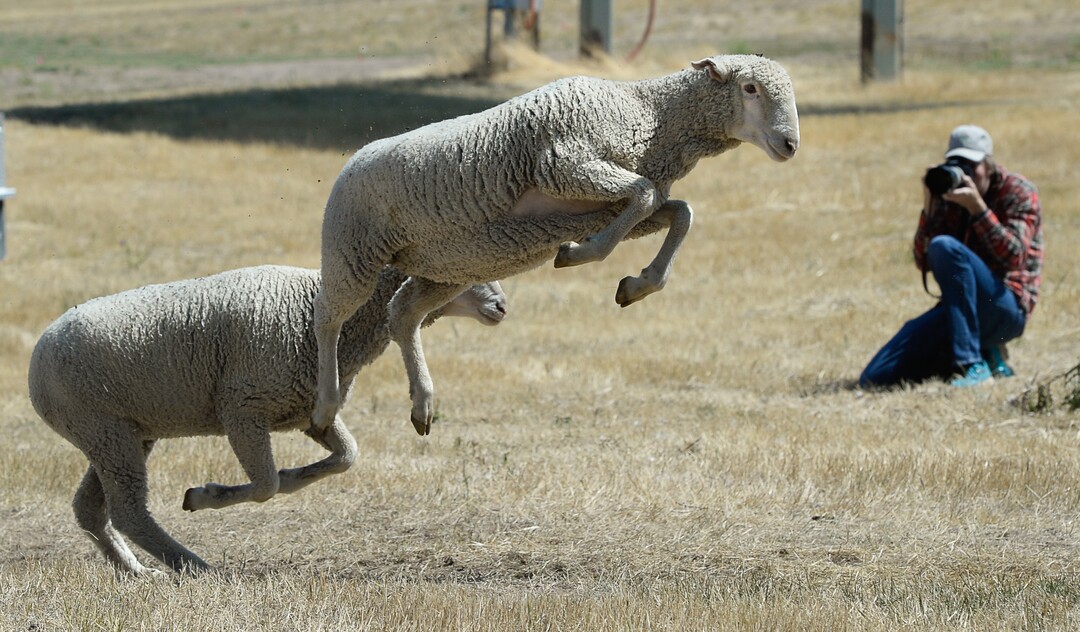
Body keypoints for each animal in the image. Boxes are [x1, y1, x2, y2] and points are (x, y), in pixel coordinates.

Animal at [28, 265, 507, 576]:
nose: (502, 306)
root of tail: (36, 359)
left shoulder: (310, 411)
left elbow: (345, 458)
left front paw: (296, 475)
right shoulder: (242, 410)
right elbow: (265, 486)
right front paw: (204, 495)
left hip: (121, 434)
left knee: (91, 509)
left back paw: (138, 571)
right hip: (106, 432)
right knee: (129, 512)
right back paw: (195, 567)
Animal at [313, 54, 800, 435]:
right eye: (750, 88)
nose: (791, 144)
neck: (649, 115)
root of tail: (352, 159)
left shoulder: (605, 207)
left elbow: (679, 213)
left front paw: (637, 285)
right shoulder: (568, 165)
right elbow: (643, 195)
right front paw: (578, 253)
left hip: (447, 266)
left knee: (402, 314)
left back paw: (422, 403)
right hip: (353, 251)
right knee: (328, 319)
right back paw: (325, 406)